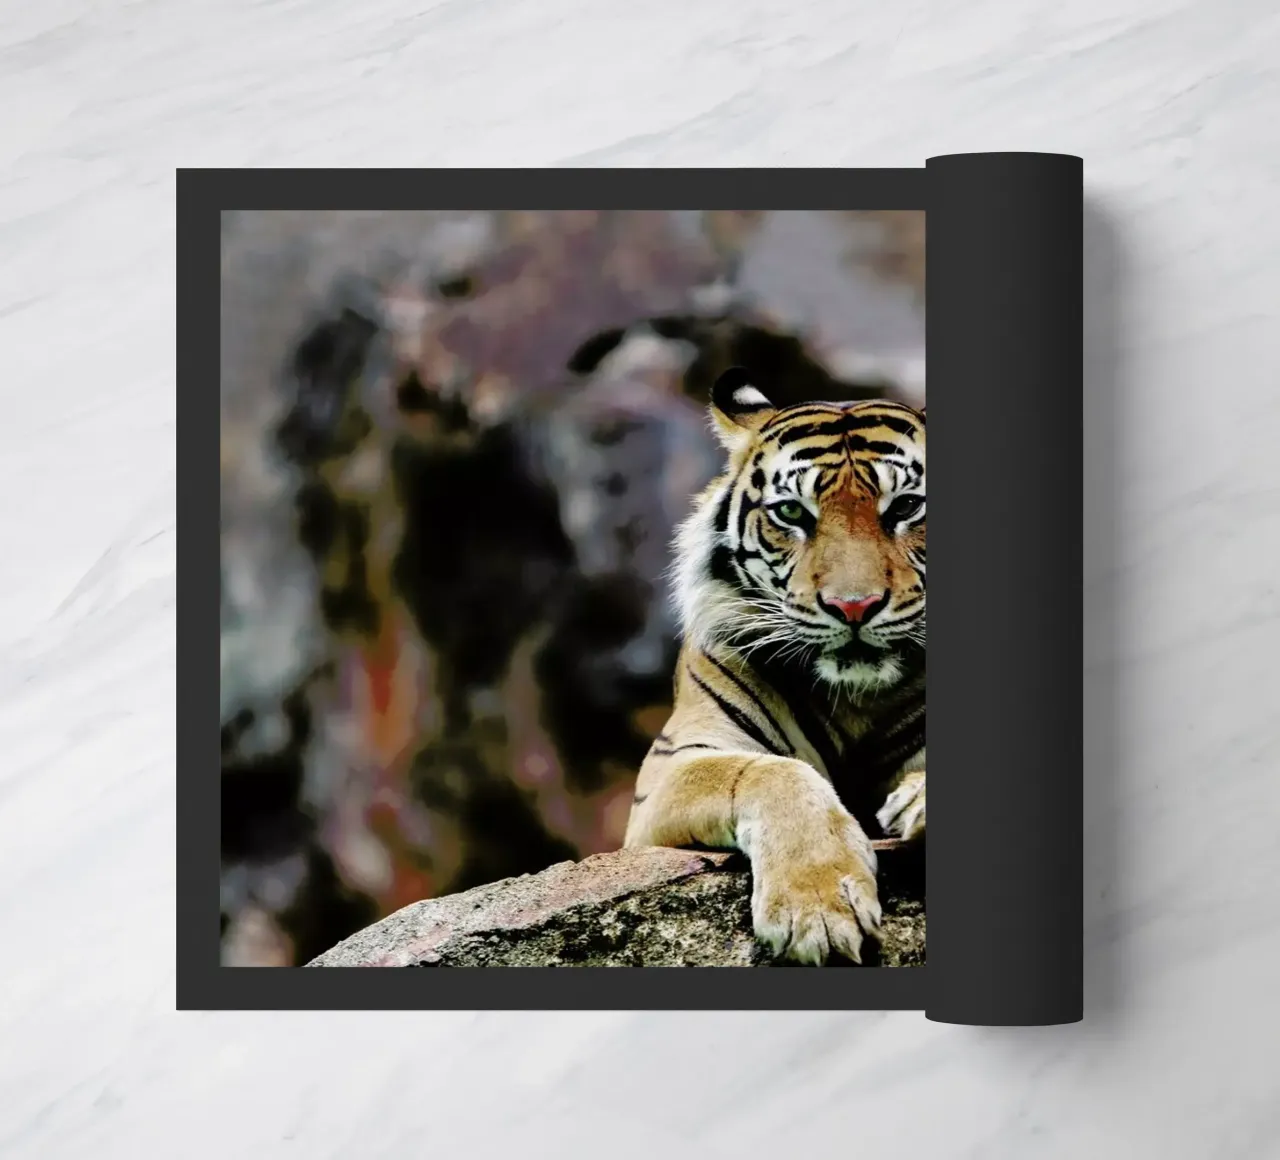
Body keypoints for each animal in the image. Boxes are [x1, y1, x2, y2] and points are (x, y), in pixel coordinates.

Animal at [624, 366, 926, 966]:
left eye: (905, 507)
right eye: (791, 513)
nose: (853, 606)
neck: (857, 695)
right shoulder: (672, 766)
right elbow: (771, 772)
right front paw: (818, 908)